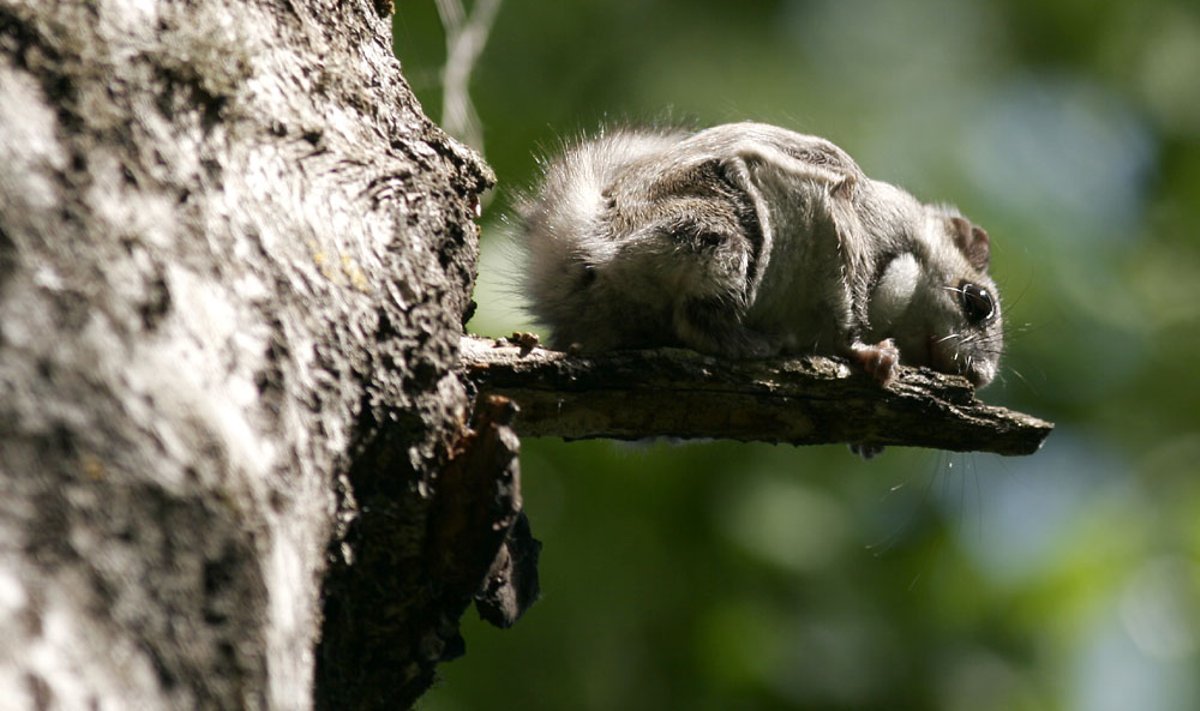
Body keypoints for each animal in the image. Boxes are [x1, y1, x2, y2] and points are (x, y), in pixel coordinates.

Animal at [511, 122, 998, 389]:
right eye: (980, 302)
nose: (982, 377)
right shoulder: (851, 239)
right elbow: (846, 316)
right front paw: (868, 353)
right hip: (715, 236)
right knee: (696, 318)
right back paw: (753, 341)